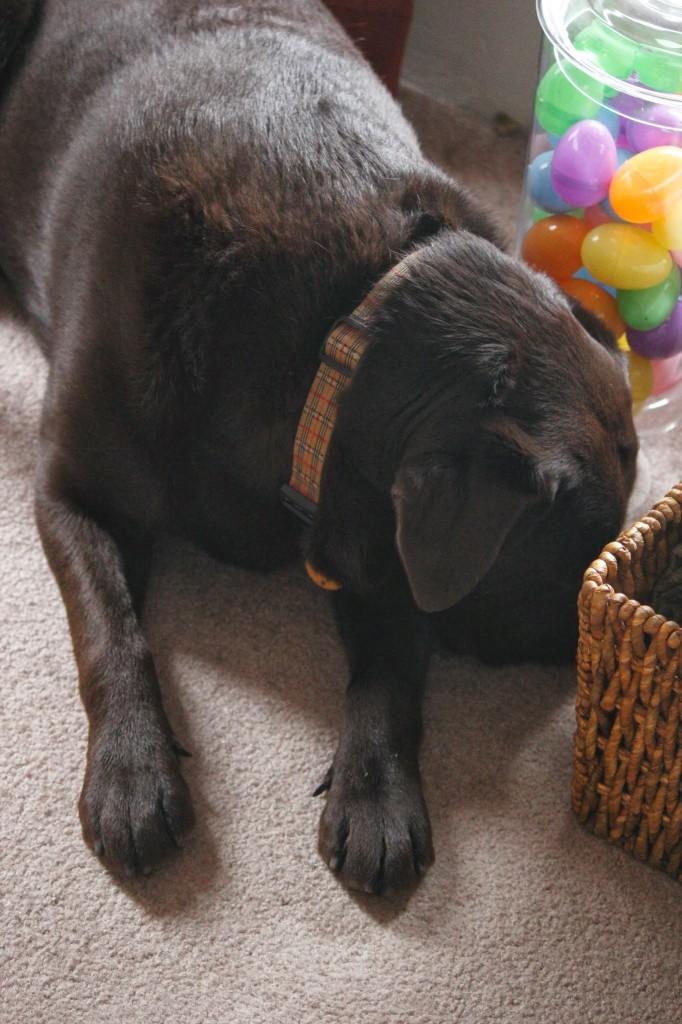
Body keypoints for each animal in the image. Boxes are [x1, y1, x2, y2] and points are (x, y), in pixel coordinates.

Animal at [0, 0, 638, 897]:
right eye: (570, 556)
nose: (589, 668)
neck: (329, 332)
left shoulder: (394, 541)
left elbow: (391, 673)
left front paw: (376, 793)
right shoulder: (69, 490)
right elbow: (113, 633)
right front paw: (132, 771)